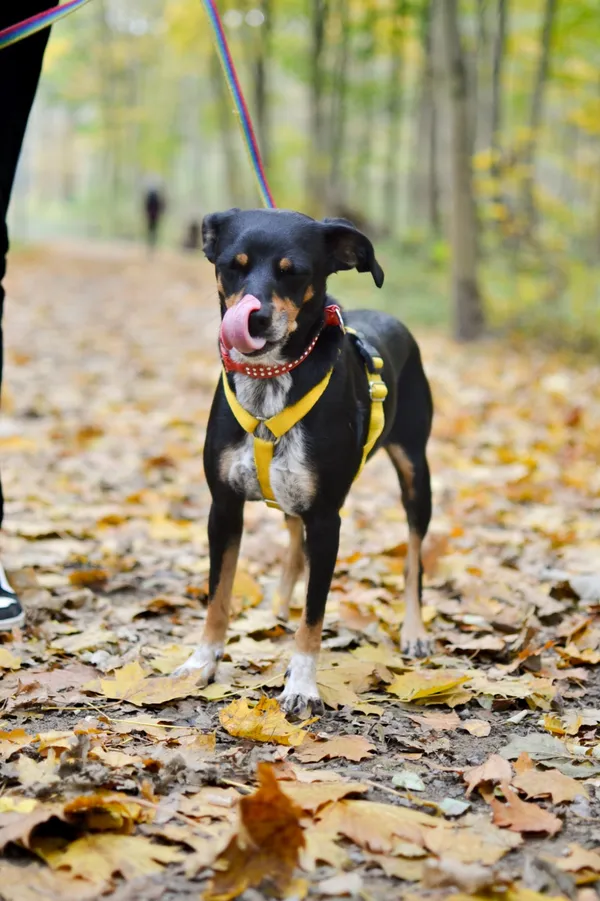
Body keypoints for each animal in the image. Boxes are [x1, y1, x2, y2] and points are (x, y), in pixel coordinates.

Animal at [176, 207, 434, 712]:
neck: (269, 380)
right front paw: (203, 662)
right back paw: (277, 607)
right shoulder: (224, 508)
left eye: (292, 271)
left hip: (417, 473)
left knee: (413, 558)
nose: (254, 318)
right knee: (294, 542)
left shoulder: (327, 519)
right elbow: (218, 595)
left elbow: (314, 615)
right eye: (233, 266)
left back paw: (413, 631)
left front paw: (301, 683)